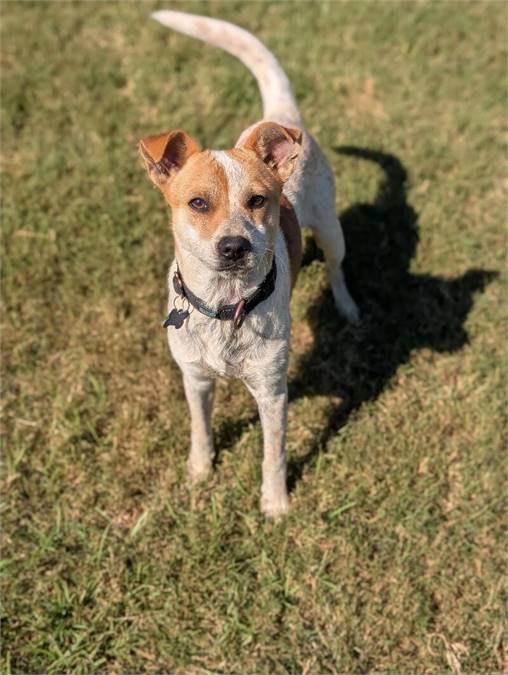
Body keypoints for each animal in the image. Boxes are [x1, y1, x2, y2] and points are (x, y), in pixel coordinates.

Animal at [141, 9, 360, 516]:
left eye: (258, 200)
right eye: (198, 203)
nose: (234, 247)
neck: (226, 305)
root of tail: (280, 118)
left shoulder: (273, 391)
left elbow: (273, 453)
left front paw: (275, 504)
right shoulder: (196, 379)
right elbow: (200, 430)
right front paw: (199, 473)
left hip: (331, 229)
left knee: (337, 267)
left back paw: (347, 308)